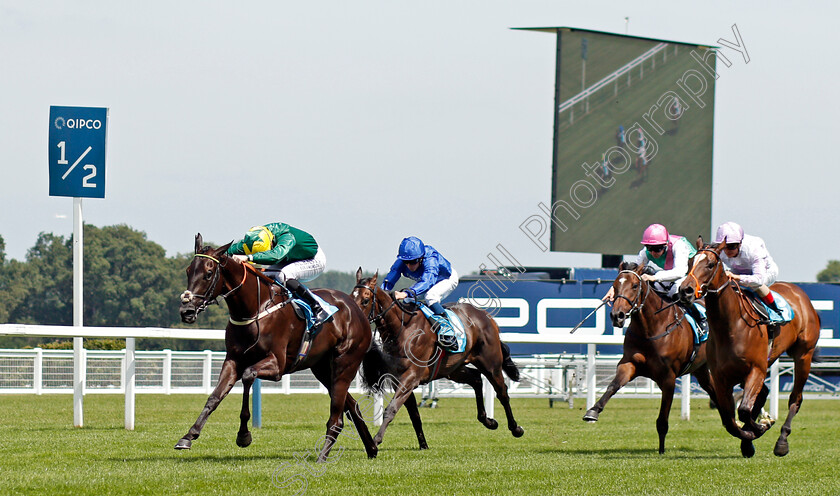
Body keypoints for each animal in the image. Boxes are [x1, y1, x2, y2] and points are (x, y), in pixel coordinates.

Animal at [177, 235, 378, 462]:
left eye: (208, 273)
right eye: (188, 271)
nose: (187, 311)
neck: (255, 308)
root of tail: (356, 309)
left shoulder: (277, 365)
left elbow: (248, 376)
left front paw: (244, 435)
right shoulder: (233, 360)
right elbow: (215, 396)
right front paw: (188, 436)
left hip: (345, 363)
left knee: (337, 416)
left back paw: (322, 456)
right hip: (323, 369)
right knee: (351, 406)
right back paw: (371, 448)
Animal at [352, 270, 520, 448]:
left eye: (365, 300)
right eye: (351, 296)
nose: (356, 321)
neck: (403, 329)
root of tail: (486, 316)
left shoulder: (411, 377)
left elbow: (391, 409)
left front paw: (375, 440)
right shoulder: (399, 379)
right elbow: (414, 414)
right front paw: (423, 444)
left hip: (490, 364)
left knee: (502, 392)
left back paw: (515, 428)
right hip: (453, 369)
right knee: (476, 379)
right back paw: (488, 421)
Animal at [584, 264, 716, 454]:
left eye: (634, 286)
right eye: (615, 285)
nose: (617, 315)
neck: (650, 329)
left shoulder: (668, 378)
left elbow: (662, 420)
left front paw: (661, 450)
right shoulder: (629, 364)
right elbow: (613, 385)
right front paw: (593, 411)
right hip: (700, 369)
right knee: (714, 391)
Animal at [676, 240, 820, 458]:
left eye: (710, 264)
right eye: (690, 262)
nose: (685, 290)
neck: (731, 326)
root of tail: (800, 294)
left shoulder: (756, 369)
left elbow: (743, 410)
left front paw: (761, 426)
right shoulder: (721, 378)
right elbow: (729, 420)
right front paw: (750, 438)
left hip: (804, 355)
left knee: (795, 398)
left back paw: (782, 441)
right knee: (763, 393)